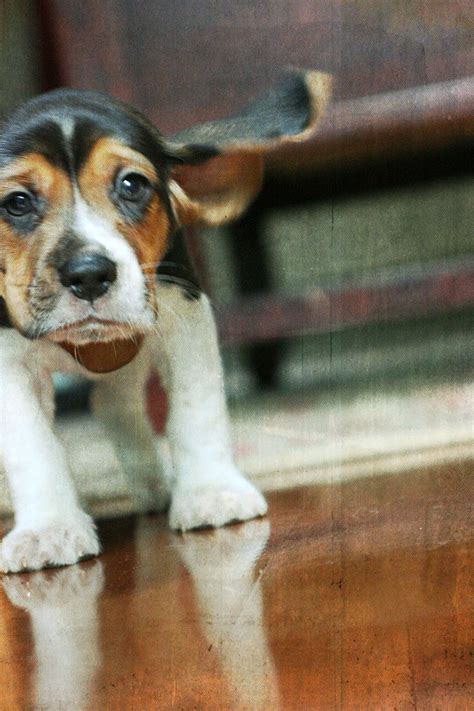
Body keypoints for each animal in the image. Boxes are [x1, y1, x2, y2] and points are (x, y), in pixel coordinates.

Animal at [0, 69, 330, 576]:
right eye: (16, 202)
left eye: (132, 185)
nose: (88, 273)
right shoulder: (7, 363)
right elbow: (31, 446)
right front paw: (48, 530)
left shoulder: (185, 316)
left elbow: (196, 413)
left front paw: (211, 492)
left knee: (112, 403)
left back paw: (153, 483)